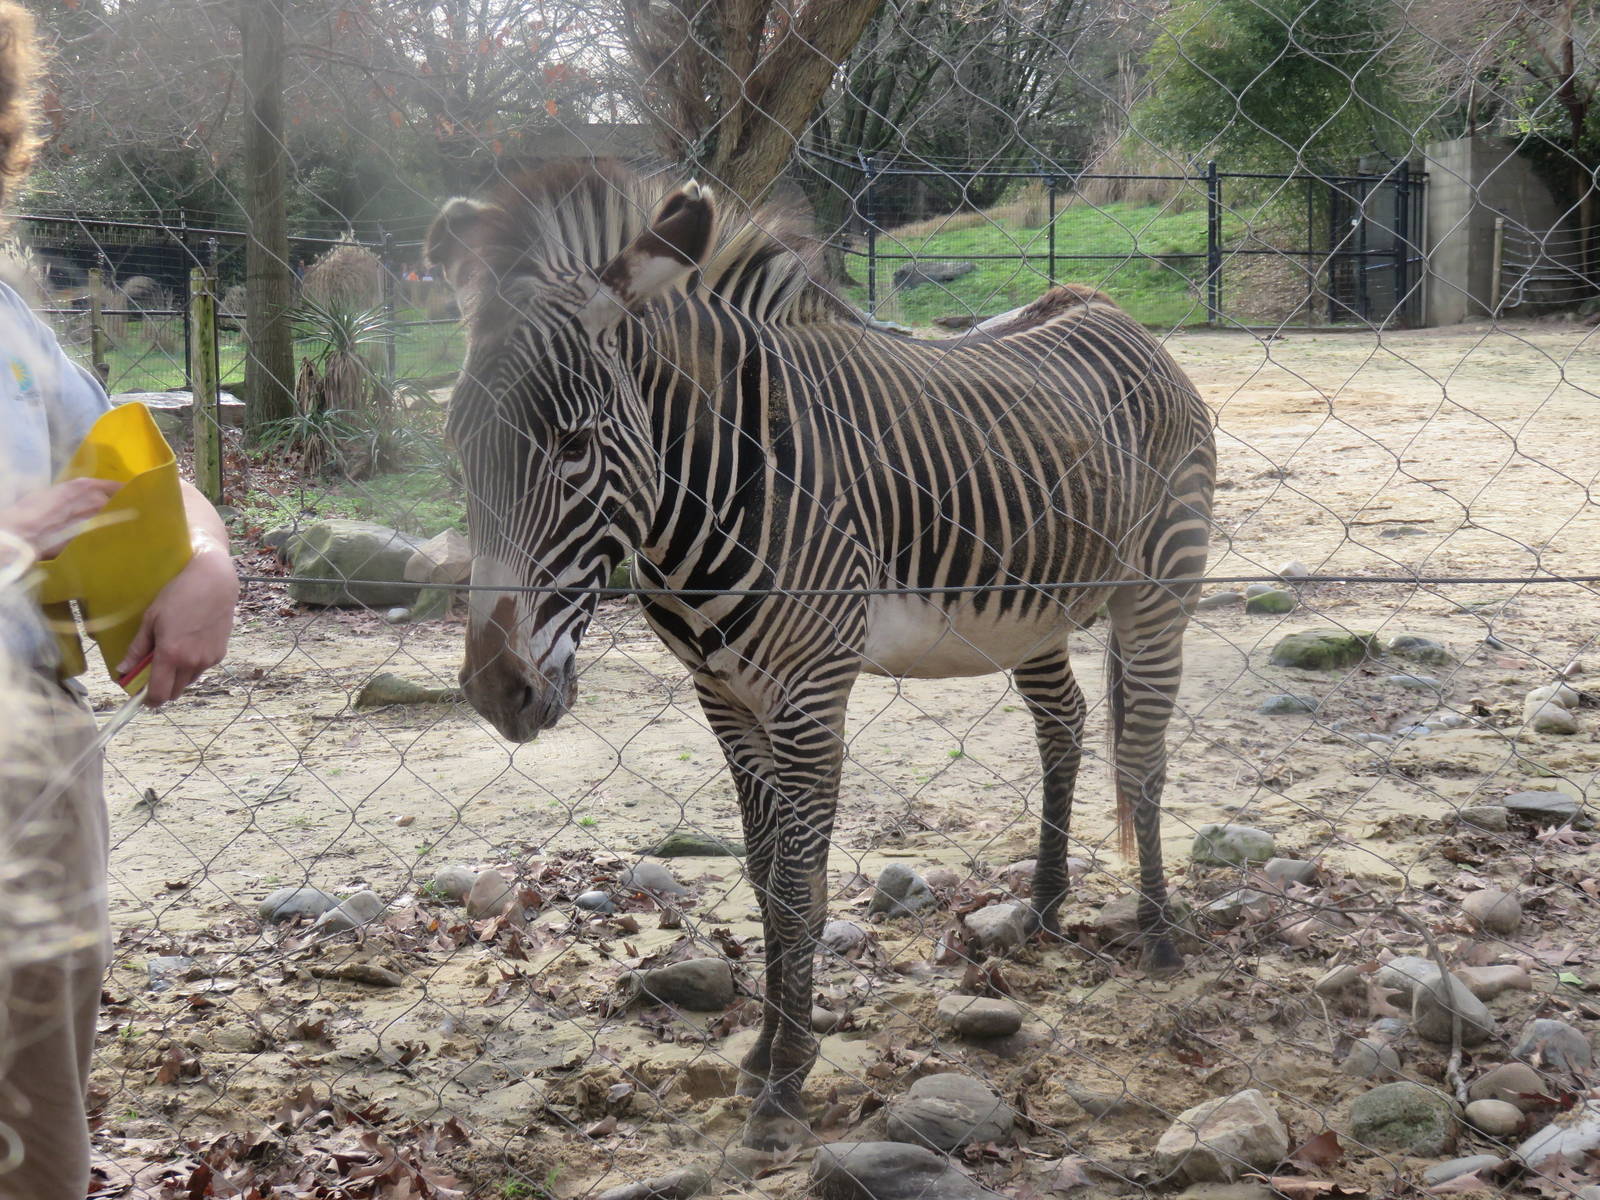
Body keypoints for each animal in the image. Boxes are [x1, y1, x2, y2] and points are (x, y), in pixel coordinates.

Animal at [427, 159, 1215, 1153]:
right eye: (459, 447)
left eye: (573, 446)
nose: (499, 690)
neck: (709, 488)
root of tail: (1103, 304)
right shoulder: (723, 697)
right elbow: (765, 881)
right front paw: (765, 1052)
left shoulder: (809, 695)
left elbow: (801, 887)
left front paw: (785, 1084)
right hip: (1029, 614)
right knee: (1066, 724)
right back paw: (1042, 906)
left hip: (1159, 590)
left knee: (1143, 754)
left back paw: (1157, 935)